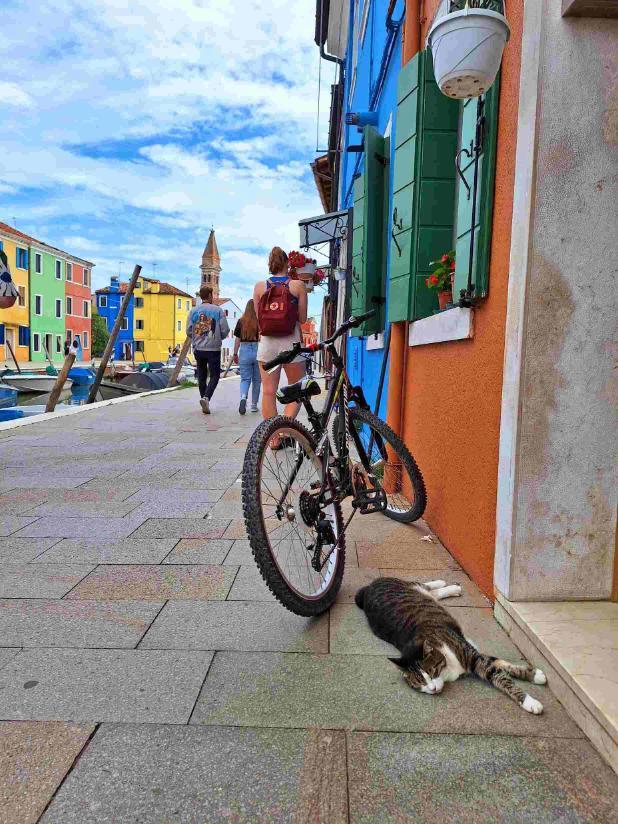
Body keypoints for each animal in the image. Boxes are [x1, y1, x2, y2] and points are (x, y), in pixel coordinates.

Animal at [354, 572, 548, 716]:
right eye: (419, 682)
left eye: (432, 671)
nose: (432, 689)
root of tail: (369, 588)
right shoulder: (476, 655)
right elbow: (500, 667)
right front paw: (533, 682)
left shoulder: (473, 655)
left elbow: (502, 673)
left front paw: (531, 695)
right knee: (433, 593)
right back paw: (450, 588)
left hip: (410, 585)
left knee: (425, 586)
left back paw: (446, 584)